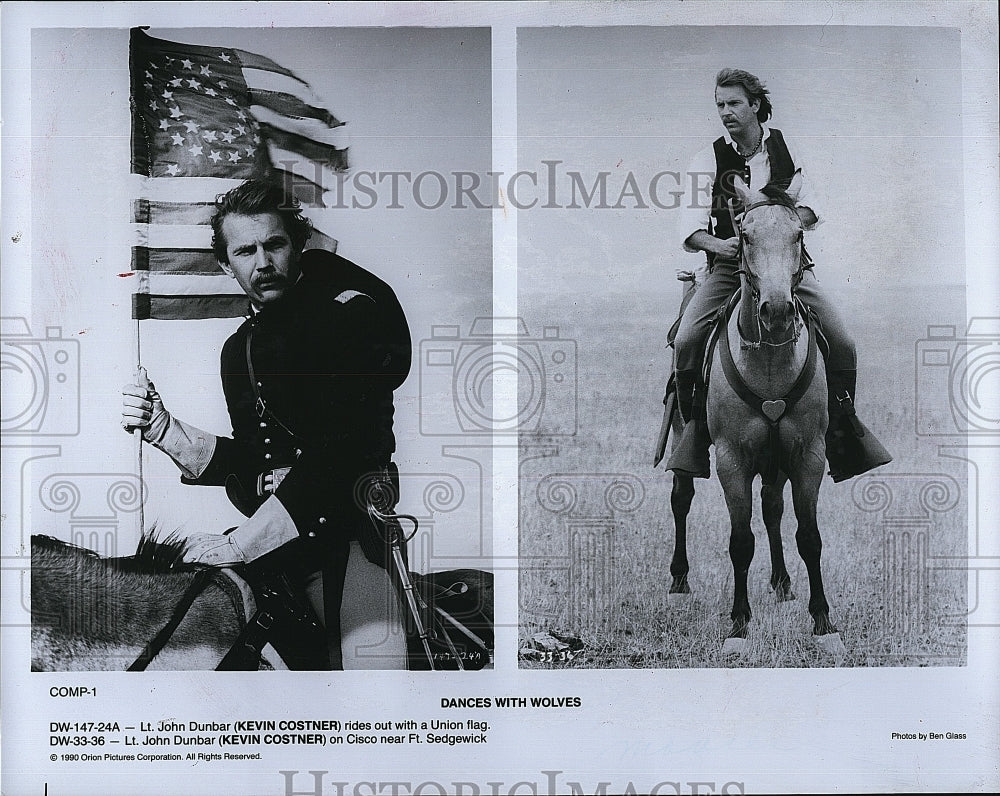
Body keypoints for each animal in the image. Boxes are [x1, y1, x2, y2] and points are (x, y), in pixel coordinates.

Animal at [664, 174, 844, 660]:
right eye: (744, 236)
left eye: (798, 235)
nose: (778, 311)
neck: (768, 361)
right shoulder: (733, 460)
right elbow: (740, 541)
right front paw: (739, 626)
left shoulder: (808, 455)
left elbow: (809, 536)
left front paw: (823, 622)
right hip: (684, 442)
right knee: (681, 498)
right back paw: (679, 578)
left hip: (776, 458)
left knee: (772, 508)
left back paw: (781, 582)